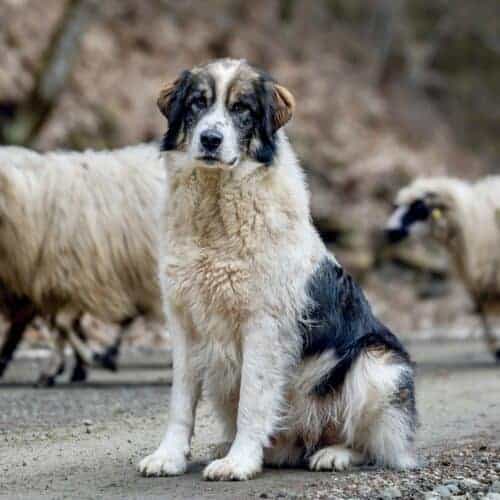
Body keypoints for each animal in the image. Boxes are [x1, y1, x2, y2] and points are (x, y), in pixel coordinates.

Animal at [138, 58, 418, 480]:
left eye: (241, 108)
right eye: (197, 103)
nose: (210, 139)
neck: (215, 209)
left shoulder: (263, 325)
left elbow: (253, 401)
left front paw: (238, 462)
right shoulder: (185, 324)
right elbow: (180, 402)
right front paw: (168, 457)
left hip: (376, 364)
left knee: (374, 443)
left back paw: (333, 454)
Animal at [386, 178, 500, 362]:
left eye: (418, 208)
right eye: (397, 206)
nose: (390, 231)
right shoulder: (477, 282)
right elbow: (482, 311)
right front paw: (496, 348)